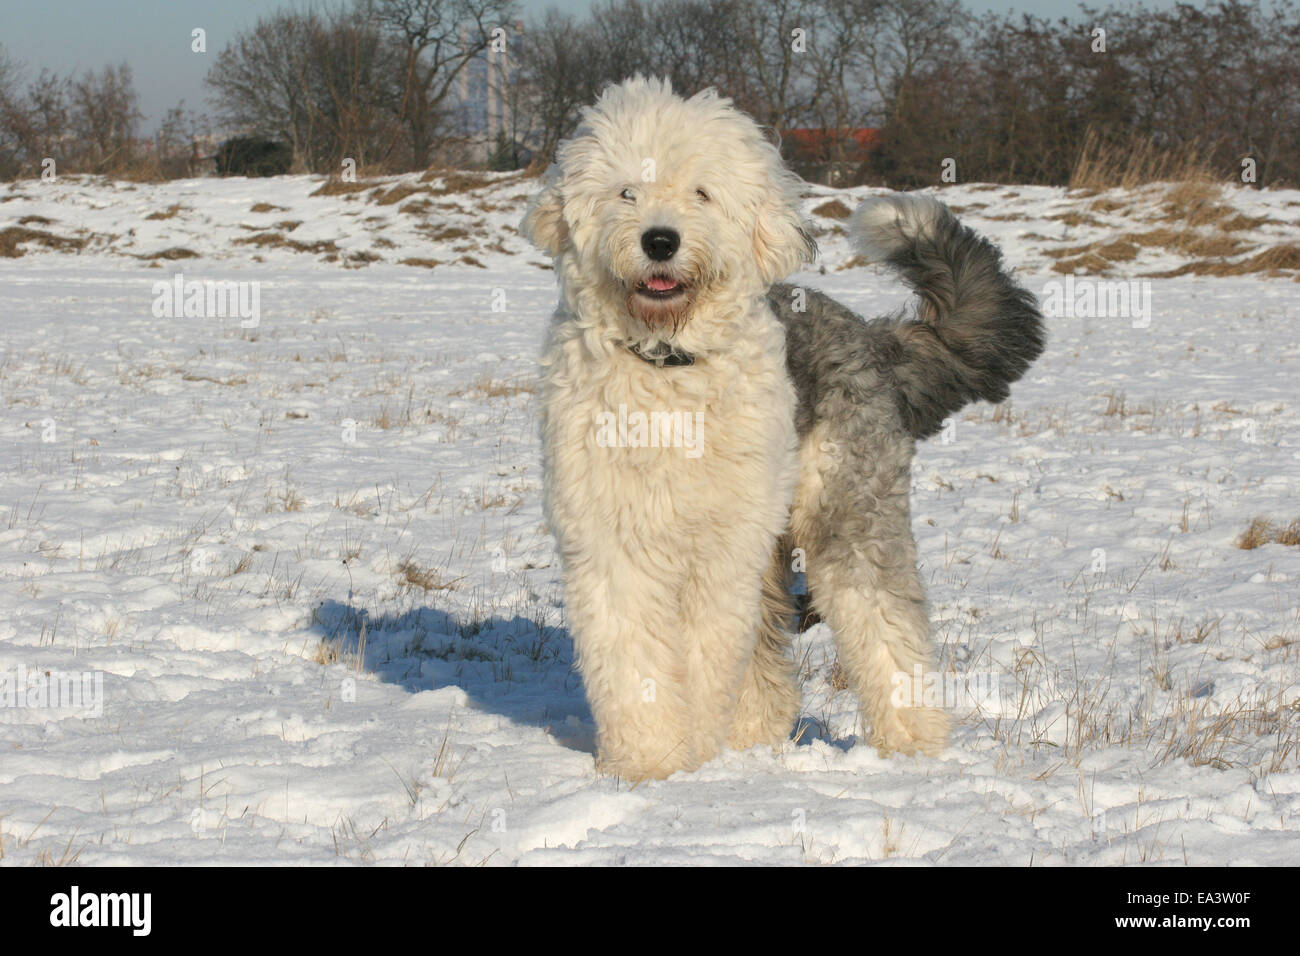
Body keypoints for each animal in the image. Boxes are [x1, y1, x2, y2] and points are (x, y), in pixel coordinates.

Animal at [522, 74, 1040, 780]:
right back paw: (754, 740)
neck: (667, 367)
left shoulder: (721, 551)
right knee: (769, 654)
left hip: (845, 512)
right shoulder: (613, 543)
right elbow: (635, 657)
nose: (660, 240)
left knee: (885, 625)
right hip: (774, 539)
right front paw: (651, 762)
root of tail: (873, 337)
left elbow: (705, 654)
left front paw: (690, 754)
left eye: (701, 192)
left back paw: (912, 745)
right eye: (626, 191)